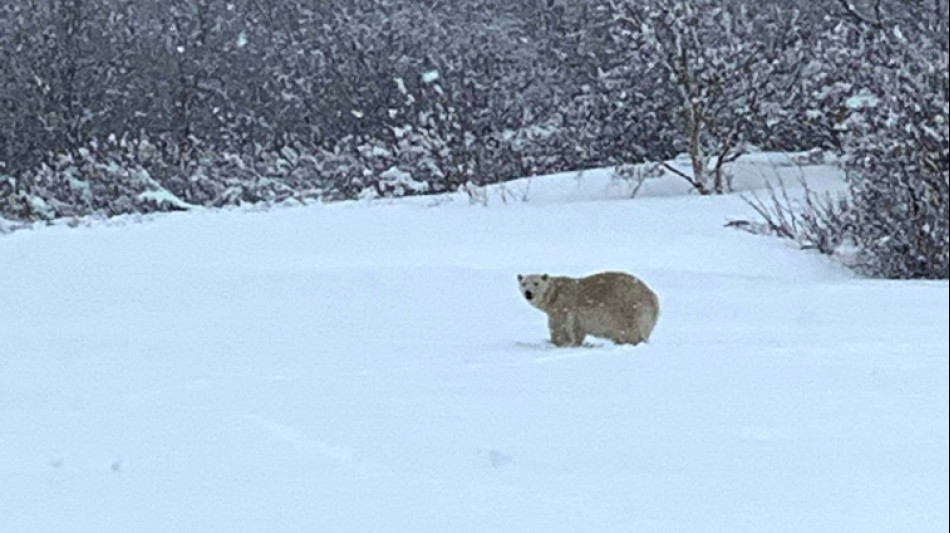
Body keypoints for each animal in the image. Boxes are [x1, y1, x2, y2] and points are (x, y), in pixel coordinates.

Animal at [520, 272, 660, 348]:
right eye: (523, 283)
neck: (554, 294)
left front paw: (557, 343)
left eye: (536, 283)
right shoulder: (576, 316)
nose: (528, 293)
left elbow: (559, 327)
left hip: (628, 308)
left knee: (630, 331)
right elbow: (577, 330)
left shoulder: (562, 305)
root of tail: (653, 298)